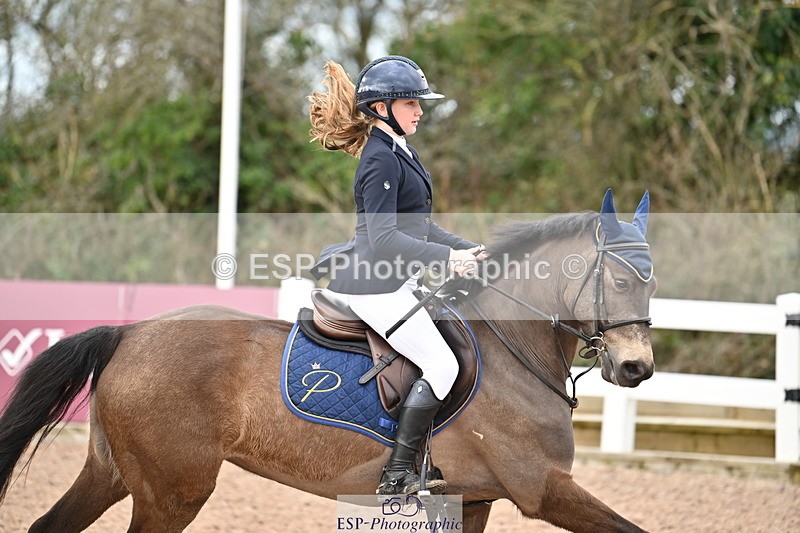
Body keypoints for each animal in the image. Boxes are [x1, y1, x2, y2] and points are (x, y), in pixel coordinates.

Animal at [0, 190, 656, 532]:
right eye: (624, 280)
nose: (636, 370)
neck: (511, 349)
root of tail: (131, 331)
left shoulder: (475, 497)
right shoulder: (543, 488)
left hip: (114, 471)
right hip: (172, 490)